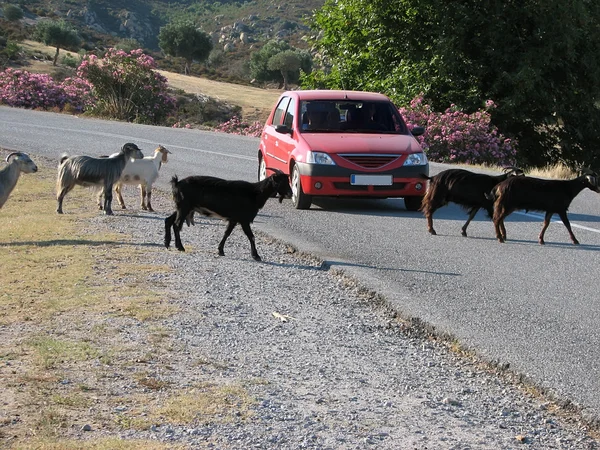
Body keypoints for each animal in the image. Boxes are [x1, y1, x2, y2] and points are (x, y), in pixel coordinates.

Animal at [164, 170, 292, 262]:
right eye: (281, 182)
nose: (290, 193)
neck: (255, 193)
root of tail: (177, 183)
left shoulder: (234, 219)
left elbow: (227, 233)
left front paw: (220, 250)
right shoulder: (243, 219)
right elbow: (251, 236)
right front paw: (256, 256)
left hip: (184, 207)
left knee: (168, 220)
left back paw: (167, 243)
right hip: (184, 207)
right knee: (176, 225)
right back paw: (180, 246)